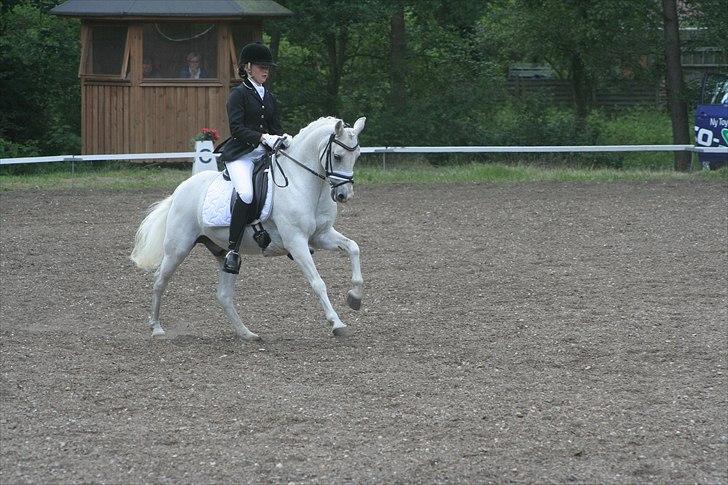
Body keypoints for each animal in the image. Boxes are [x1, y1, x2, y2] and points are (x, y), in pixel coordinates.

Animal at [130, 116, 366, 340]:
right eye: (337, 156)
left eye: (357, 156)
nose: (344, 195)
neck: (301, 183)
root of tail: (179, 191)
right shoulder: (296, 241)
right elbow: (318, 283)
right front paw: (337, 323)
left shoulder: (321, 235)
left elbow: (353, 247)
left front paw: (354, 297)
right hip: (178, 248)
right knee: (160, 281)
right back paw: (157, 328)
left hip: (223, 252)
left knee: (224, 295)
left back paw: (247, 334)